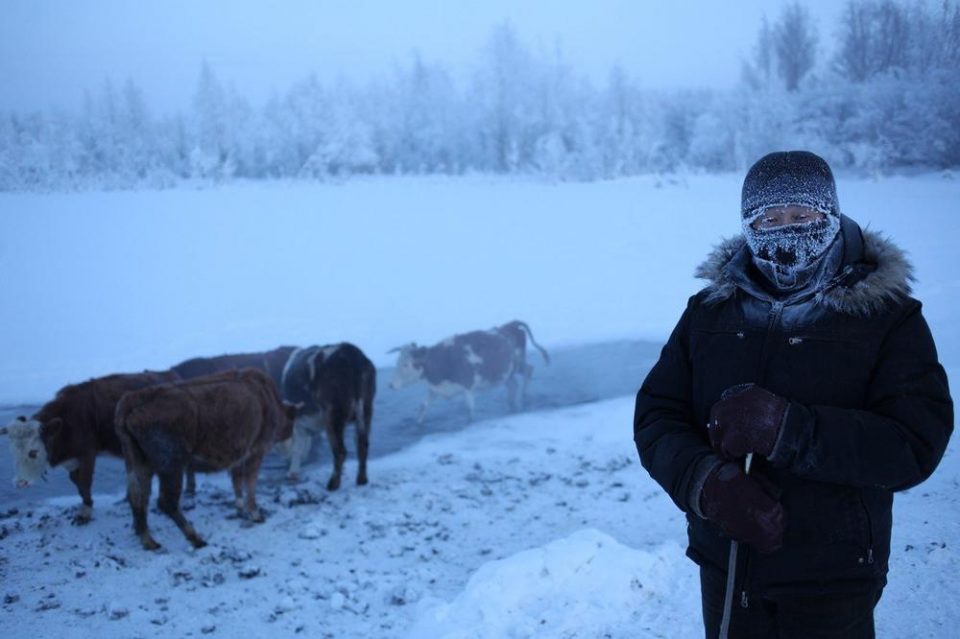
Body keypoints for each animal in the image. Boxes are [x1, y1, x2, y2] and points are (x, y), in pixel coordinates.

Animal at [1, 370, 182, 524]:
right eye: (12, 452)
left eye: (34, 451)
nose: (20, 483)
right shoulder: (72, 459)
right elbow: (76, 481)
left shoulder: (87, 454)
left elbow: (84, 482)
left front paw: (85, 511)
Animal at [113, 368, 294, 552]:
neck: (267, 396)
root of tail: (132, 400)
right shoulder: (255, 453)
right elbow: (249, 485)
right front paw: (255, 514)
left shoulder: (238, 459)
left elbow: (237, 484)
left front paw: (240, 509)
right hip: (171, 467)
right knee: (166, 502)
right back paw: (195, 538)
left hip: (139, 464)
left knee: (138, 497)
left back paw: (148, 540)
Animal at [278, 344, 376, 490]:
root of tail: (350, 351)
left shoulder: (299, 423)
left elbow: (298, 448)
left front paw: (293, 473)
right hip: (366, 410)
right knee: (362, 445)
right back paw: (361, 480)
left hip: (334, 415)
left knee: (340, 451)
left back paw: (333, 483)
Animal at [384, 320, 548, 424]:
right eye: (397, 362)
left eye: (406, 364)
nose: (391, 385)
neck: (443, 360)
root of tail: (511, 324)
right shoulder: (435, 389)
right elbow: (423, 407)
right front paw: (417, 423)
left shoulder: (467, 386)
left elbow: (469, 410)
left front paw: (470, 422)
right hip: (507, 372)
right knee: (514, 384)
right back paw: (513, 403)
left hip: (517, 363)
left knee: (528, 371)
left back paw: (524, 396)